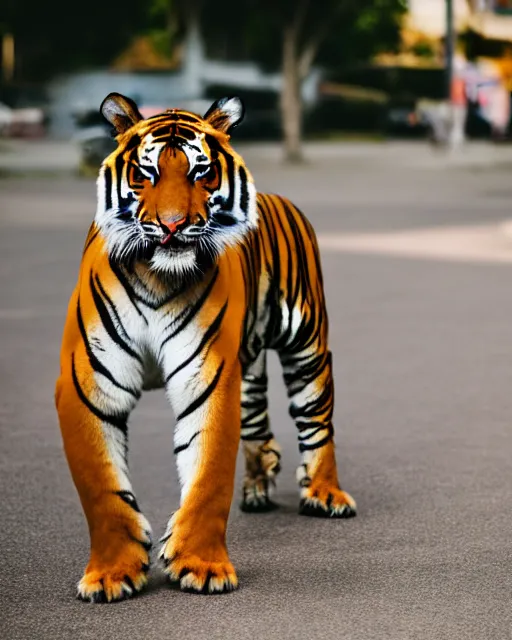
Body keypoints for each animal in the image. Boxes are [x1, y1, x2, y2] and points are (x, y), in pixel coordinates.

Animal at [54, 92, 354, 604]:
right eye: (145, 173)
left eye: (202, 172)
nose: (173, 226)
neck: (157, 274)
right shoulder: (87, 386)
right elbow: (101, 487)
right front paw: (111, 574)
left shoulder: (209, 377)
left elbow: (208, 476)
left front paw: (202, 566)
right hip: (249, 364)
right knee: (259, 426)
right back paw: (257, 487)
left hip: (307, 345)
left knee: (317, 422)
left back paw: (325, 493)